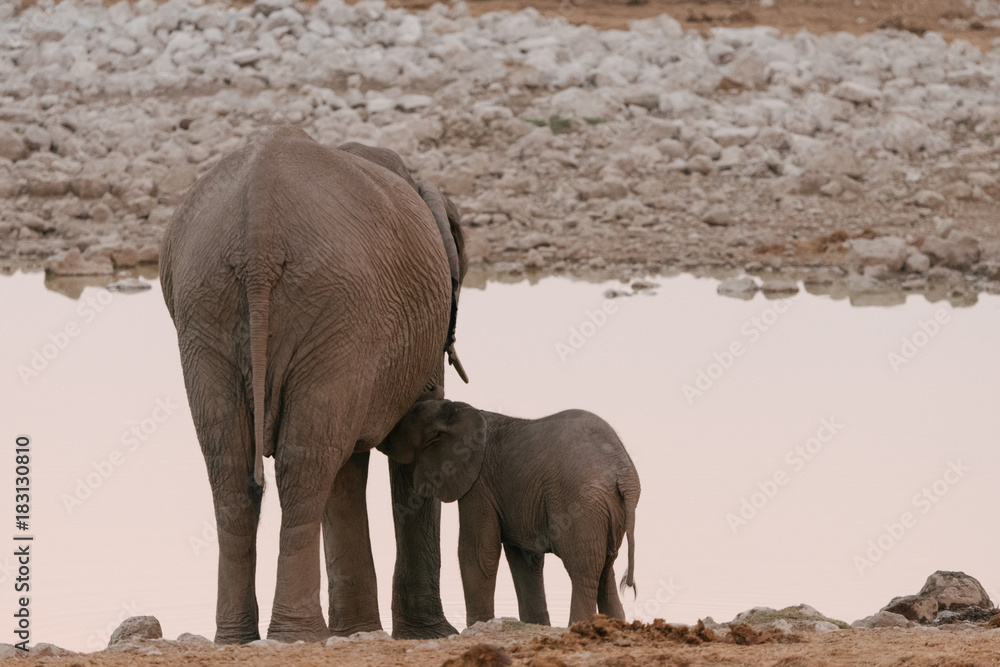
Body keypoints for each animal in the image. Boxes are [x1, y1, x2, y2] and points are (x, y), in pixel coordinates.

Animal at [159, 127, 468, 643]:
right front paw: (434, 635)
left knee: (237, 467)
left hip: (208, 309)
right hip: (327, 307)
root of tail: (258, 232)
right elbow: (416, 438)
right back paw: (298, 635)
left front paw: (361, 631)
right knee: (303, 465)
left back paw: (243, 638)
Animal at [377, 399, 640, 627]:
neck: (460, 410)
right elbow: (525, 558)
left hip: (579, 504)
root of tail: (623, 475)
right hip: (608, 509)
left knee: (583, 570)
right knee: (605, 570)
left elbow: (478, 552)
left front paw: (477, 628)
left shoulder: (478, 484)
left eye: (407, 418)